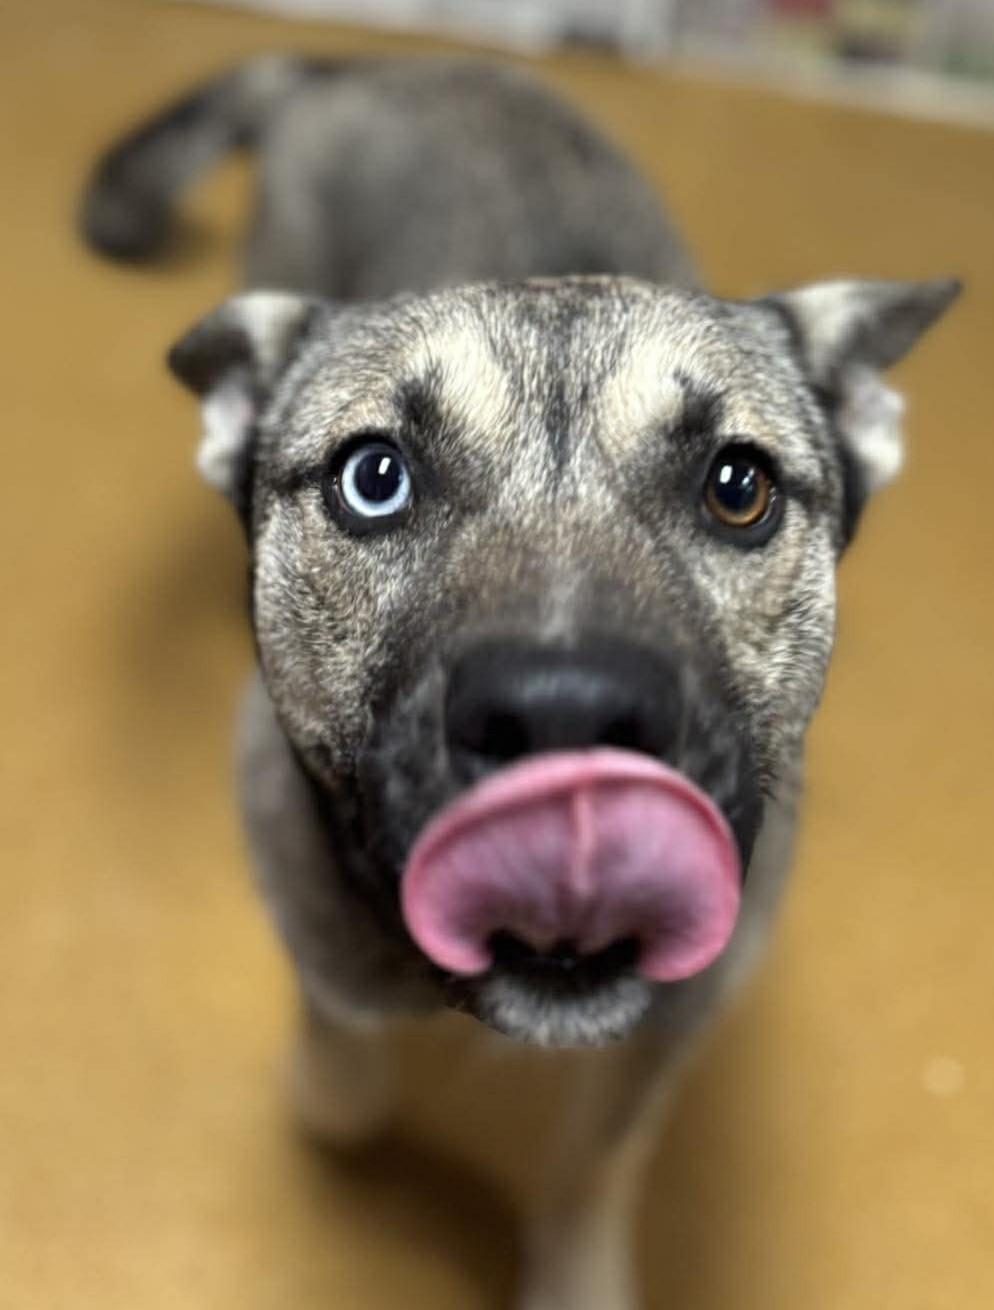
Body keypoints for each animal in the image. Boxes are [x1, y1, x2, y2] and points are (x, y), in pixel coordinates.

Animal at [81, 54, 958, 1309]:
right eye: (374, 478)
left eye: (736, 486)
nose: (565, 717)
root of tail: (373, 63)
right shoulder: (304, 887)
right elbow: (340, 1034)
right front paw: (339, 1089)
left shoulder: (674, 1024)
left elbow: (595, 1160)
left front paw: (575, 1274)